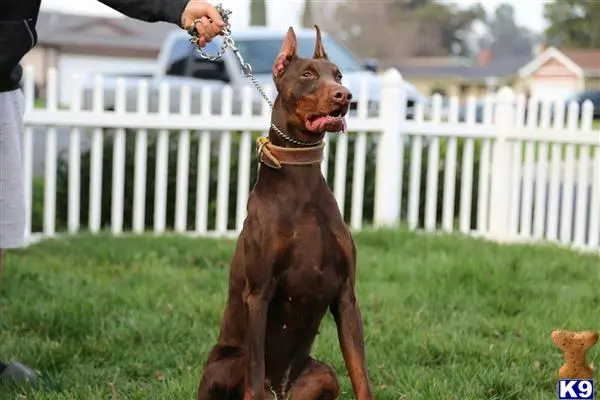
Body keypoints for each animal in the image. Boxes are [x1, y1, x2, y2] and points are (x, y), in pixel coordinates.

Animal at [197, 25, 372, 400]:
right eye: (307, 74)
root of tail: (282, 390)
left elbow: (361, 375)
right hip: (225, 364)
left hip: (322, 375)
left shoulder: (346, 296)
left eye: (338, 74)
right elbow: (254, 377)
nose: (345, 95)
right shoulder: (259, 293)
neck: (301, 182)